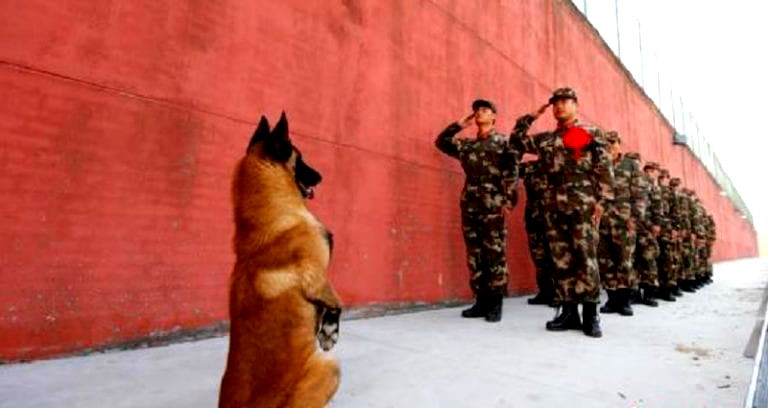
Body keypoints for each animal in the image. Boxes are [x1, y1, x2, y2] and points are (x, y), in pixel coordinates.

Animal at [218, 112, 340, 408]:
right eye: (301, 157)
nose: (321, 176)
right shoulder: (316, 275)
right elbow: (336, 302)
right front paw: (329, 331)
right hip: (329, 367)